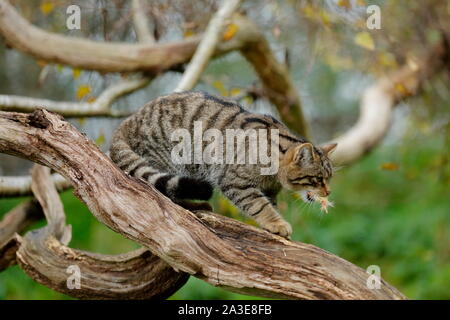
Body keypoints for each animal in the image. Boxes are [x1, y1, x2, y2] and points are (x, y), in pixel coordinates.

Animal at [109, 91, 334, 236]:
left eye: (329, 178)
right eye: (317, 179)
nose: (328, 192)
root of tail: (127, 122)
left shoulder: (269, 189)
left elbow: (269, 204)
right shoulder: (235, 181)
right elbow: (259, 205)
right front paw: (276, 223)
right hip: (170, 160)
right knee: (164, 197)